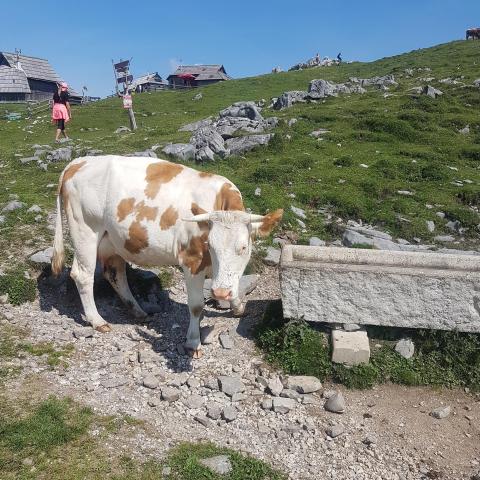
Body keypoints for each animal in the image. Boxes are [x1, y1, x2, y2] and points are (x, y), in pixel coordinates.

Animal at [50, 155, 284, 356]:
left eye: (243, 247)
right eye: (210, 245)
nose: (219, 292)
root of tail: (79, 161)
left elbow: (234, 284)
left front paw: (237, 306)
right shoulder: (191, 261)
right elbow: (196, 305)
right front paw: (192, 342)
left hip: (113, 240)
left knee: (115, 274)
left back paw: (138, 311)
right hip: (85, 231)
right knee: (83, 275)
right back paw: (97, 320)